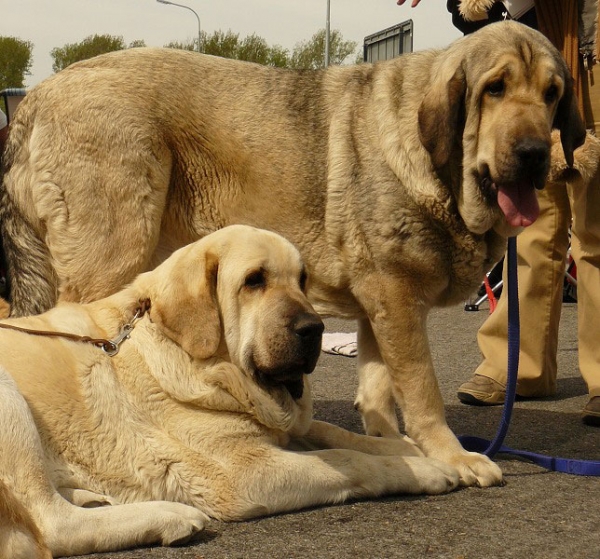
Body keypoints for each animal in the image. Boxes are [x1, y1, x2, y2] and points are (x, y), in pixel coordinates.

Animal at [0, 20, 584, 486]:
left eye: (552, 93)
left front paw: (393, 446)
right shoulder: (397, 300)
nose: (535, 153)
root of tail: (34, 99)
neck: (436, 164)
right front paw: (451, 455)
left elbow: (378, 391)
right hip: (114, 251)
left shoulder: (378, 306)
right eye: (495, 89)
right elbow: (421, 390)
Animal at [0, 228, 460, 559]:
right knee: (51, 524)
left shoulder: (278, 427)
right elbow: (348, 460)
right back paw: (167, 516)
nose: (315, 329)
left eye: (302, 280)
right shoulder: (245, 474)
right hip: (10, 400)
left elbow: (333, 433)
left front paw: (405, 447)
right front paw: (424, 470)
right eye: (254, 281)